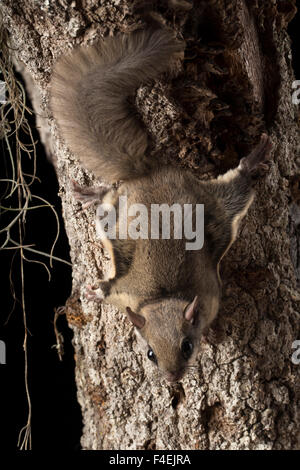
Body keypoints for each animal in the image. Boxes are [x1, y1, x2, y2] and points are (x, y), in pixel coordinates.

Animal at [50, 27, 274, 384]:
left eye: (187, 346)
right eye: (150, 354)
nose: (172, 378)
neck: (163, 297)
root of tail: (148, 173)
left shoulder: (211, 293)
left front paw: (211, 333)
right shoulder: (124, 291)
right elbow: (110, 288)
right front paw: (94, 292)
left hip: (215, 208)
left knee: (236, 186)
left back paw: (252, 162)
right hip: (128, 218)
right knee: (108, 201)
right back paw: (90, 194)